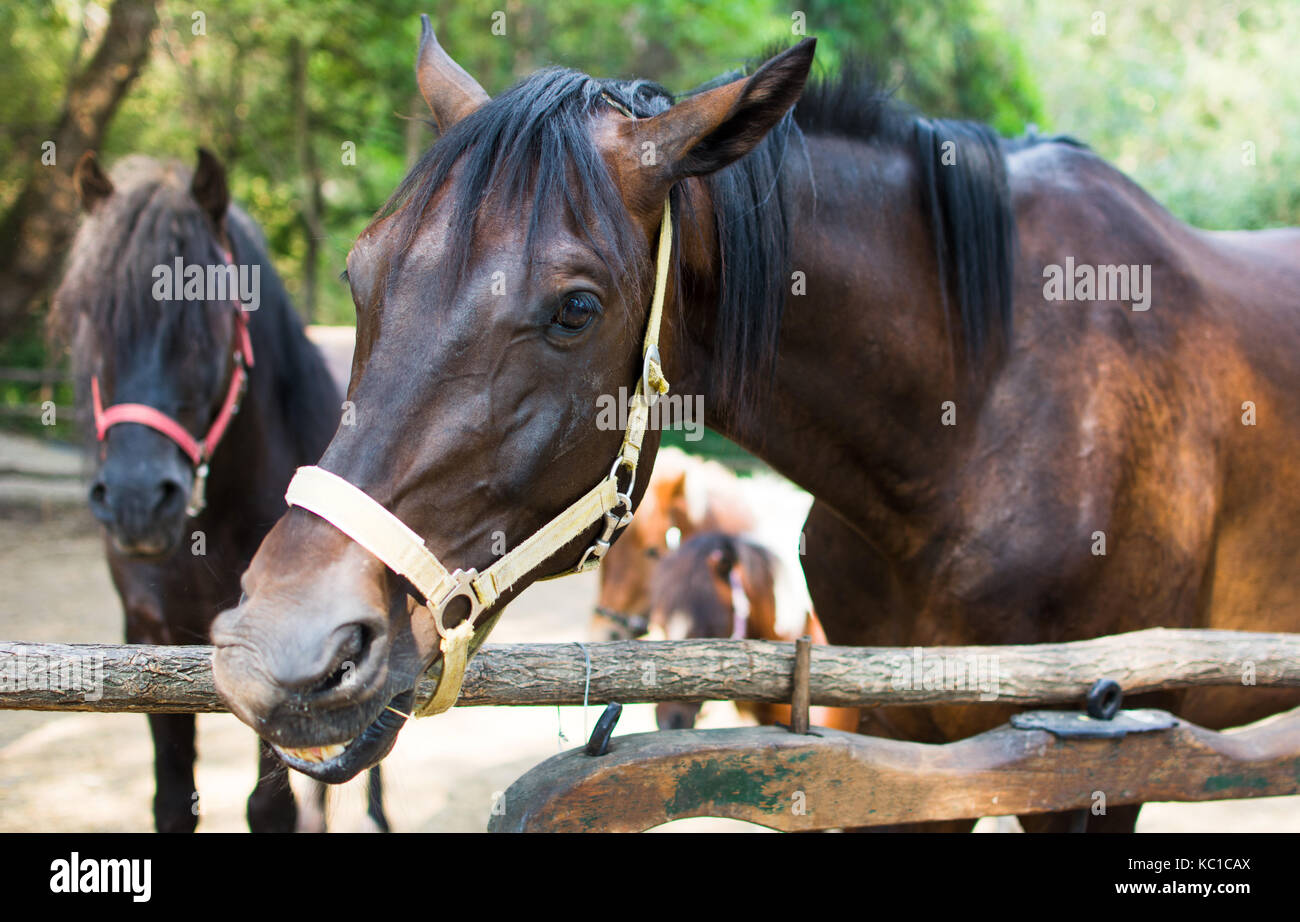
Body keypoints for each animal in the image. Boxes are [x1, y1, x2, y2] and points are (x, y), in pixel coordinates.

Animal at [53, 152, 387, 832]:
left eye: (205, 324)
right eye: (90, 319)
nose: (134, 500)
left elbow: (269, 804)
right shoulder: (147, 639)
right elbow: (173, 800)